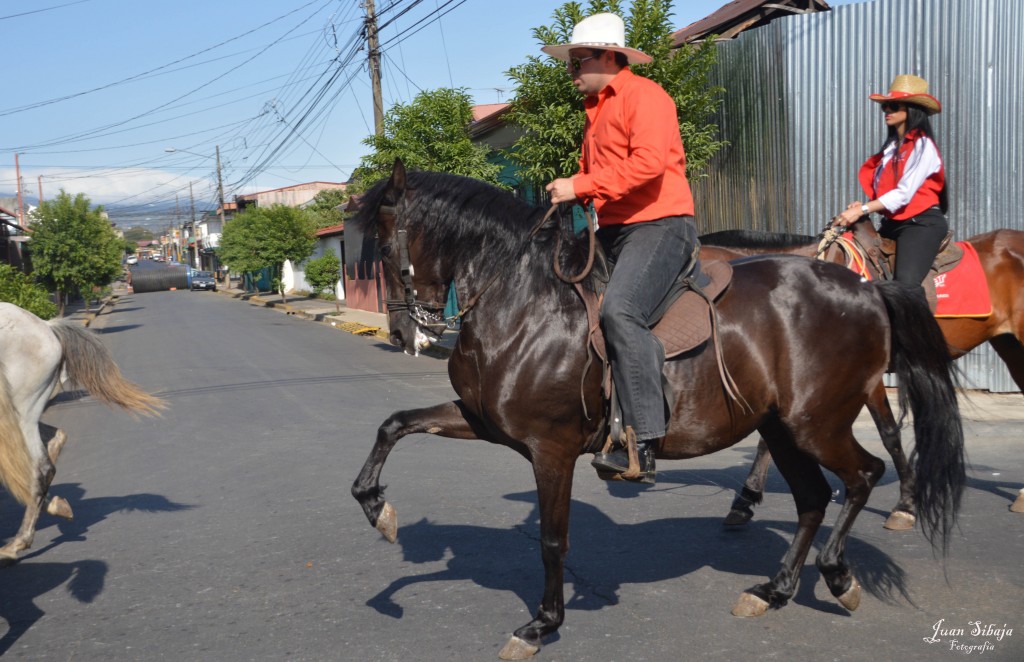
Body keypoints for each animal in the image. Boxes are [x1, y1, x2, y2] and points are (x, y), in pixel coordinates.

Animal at [348, 162, 962, 659]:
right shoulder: (482, 422)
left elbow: (552, 540)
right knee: (813, 496)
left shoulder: (551, 450)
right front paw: (376, 508)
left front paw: (542, 624)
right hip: (780, 428)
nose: (402, 332)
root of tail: (865, 289)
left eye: (383, 240)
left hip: (815, 423)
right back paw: (774, 590)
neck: (524, 302)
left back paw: (837, 574)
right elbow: (394, 425)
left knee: (862, 475)